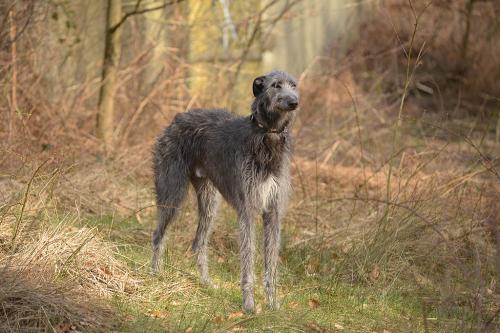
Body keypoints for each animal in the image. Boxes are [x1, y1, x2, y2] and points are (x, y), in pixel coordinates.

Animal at [150, 70, 298, 312]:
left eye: (294, 85)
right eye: (276, 85)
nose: (294, 102)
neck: (267, 136)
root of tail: (177, 117)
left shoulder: (273, 212)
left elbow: (271, 262)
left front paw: (272, 304)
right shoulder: (247, 211)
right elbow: (248, 258)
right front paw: (249, 305)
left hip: (210, 202)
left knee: (198, 243)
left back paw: (206, 283)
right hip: (172, 192)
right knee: (158, 234)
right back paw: (154, 272)